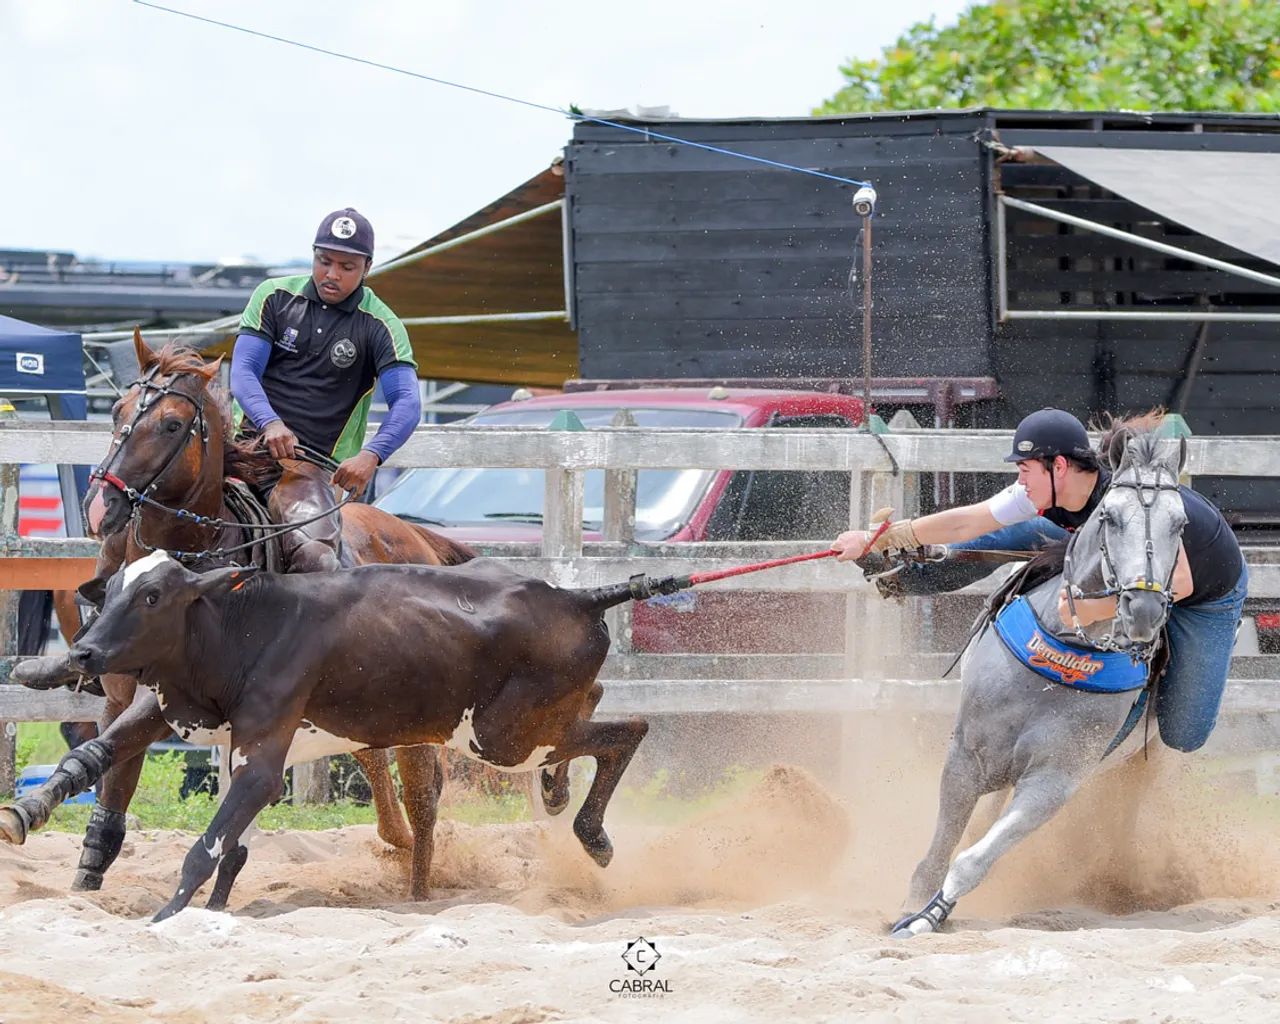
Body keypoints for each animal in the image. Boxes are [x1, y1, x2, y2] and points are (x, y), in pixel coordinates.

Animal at [57, 328, 476, 899]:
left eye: (172, 424)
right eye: (118, 410)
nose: (101, 506)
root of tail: (415, 536)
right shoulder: (120, 694)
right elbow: (111, 779)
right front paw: (86, 876)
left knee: (421, 792)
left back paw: (417, 890)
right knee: (377, 762)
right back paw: (396, 843)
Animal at [892, 426, 1188, 936]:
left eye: (1182, 524)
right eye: (1108, 516)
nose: (1144, 610)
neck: (1061, 657)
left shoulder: (1053, 783)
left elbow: (972, 861)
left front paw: (928, 916)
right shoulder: (966, 755)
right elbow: (939, 851)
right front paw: (911, 908)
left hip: (1144, 764)